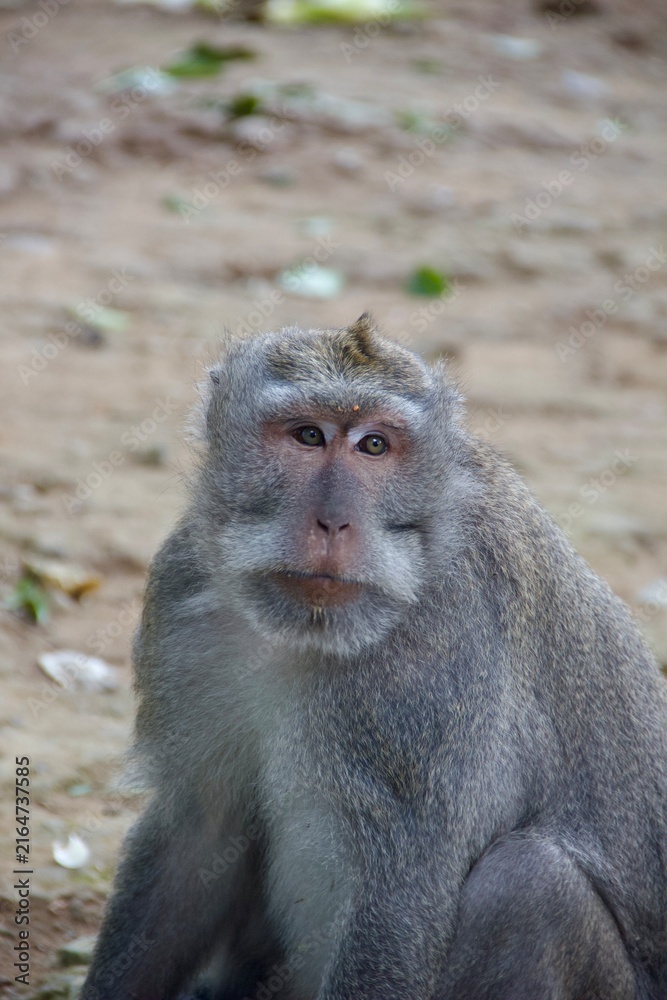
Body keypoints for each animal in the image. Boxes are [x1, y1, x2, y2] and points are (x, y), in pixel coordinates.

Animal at [81, 314, 667, 1000]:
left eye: (375, 446)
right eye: (309, 435)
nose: (334, 522)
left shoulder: (437, 658)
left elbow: (400, 899)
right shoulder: (182, 593)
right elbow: (198, 832)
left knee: (527, 887)